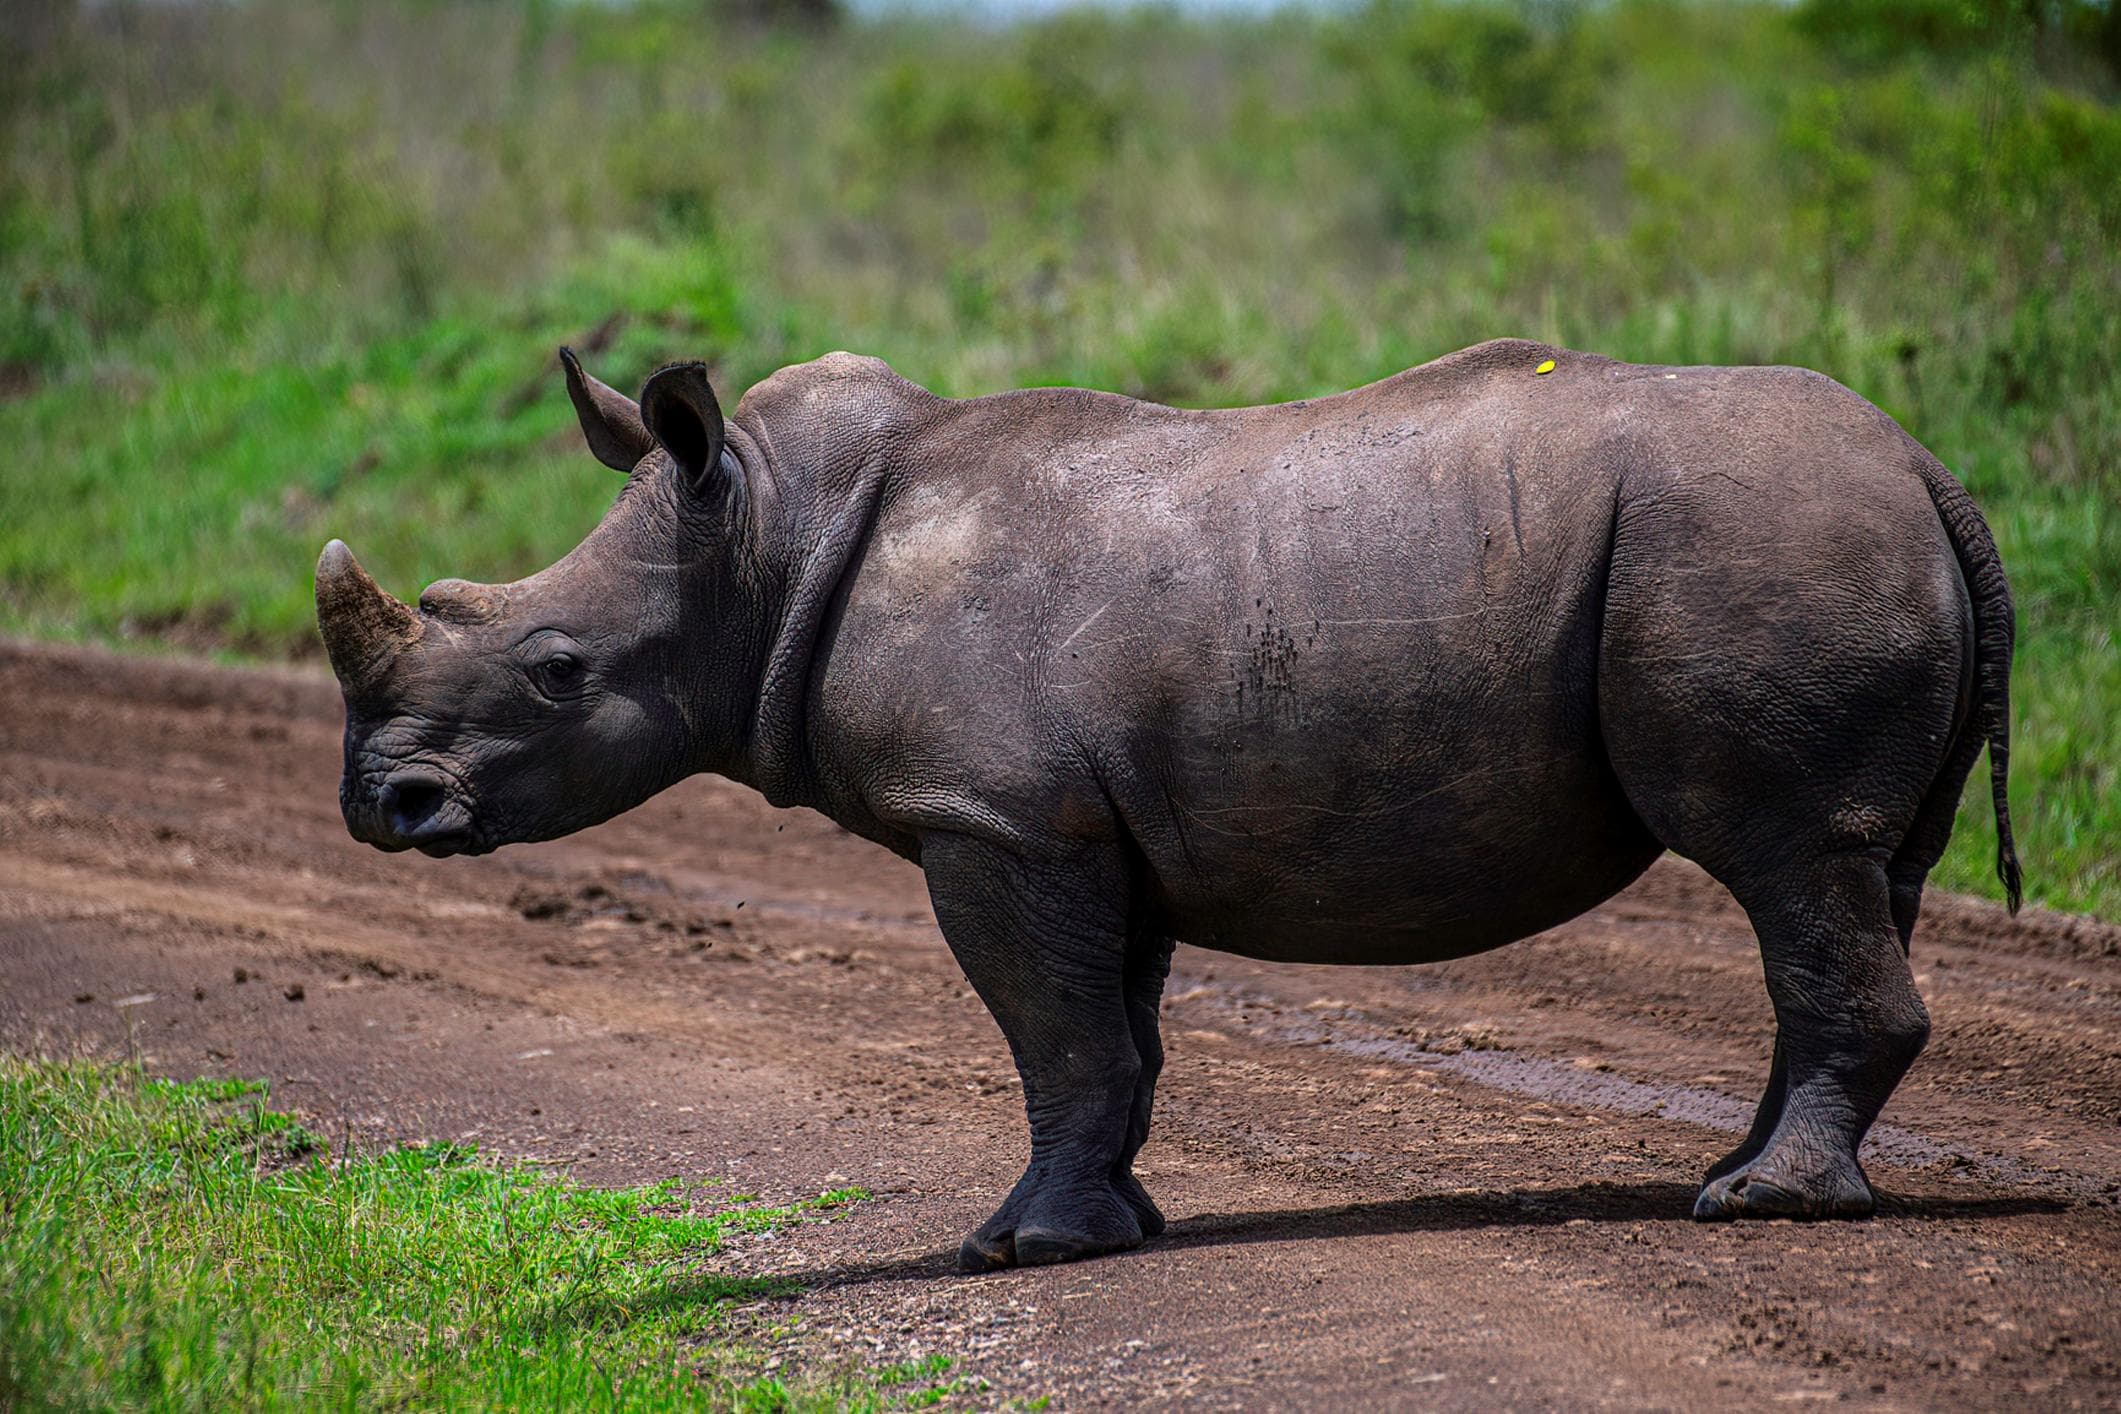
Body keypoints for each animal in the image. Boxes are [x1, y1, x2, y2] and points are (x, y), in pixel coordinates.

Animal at [317, 338, 2021, 1269]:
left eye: (554, 671)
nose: (384, 805)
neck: (765, 540)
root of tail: (1935, 473)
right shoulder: (1077, 819)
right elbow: (1114, 1036)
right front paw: (1115, 1224)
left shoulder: (993, 817)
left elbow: (1057, 1033)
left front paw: (1022, 1250)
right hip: (1812, 540)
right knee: (1854, 876)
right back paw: (1750, 1179)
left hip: (1763, 545)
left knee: (1786, 855)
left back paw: (1762, 1205)